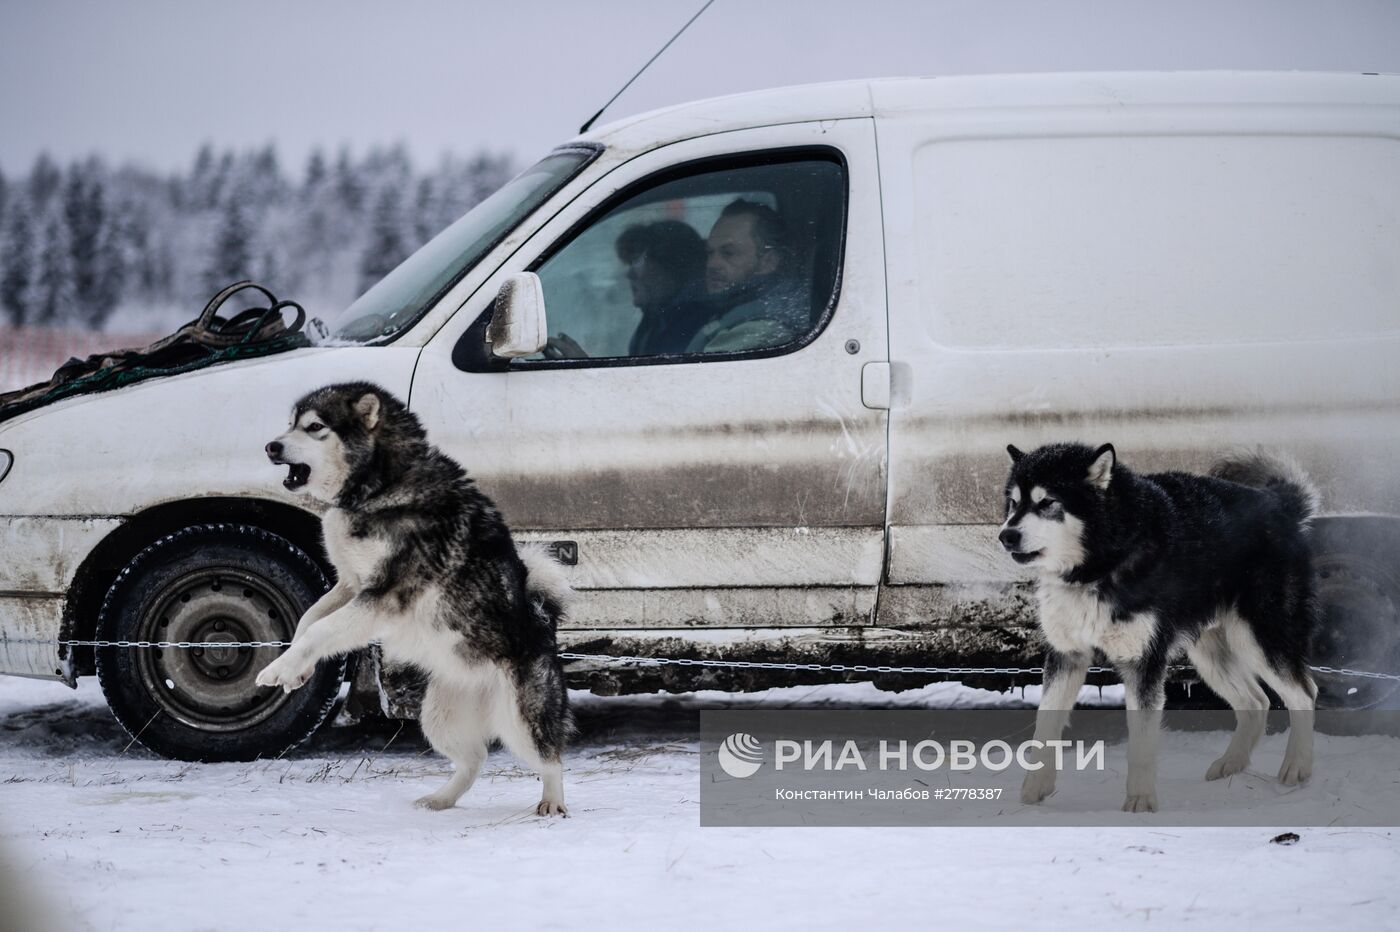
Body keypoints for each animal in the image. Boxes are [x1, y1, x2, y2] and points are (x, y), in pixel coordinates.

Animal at [260, 380, 571, 811]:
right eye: (290, 423)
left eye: (314, 426)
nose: (270, 446)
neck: (382, 486)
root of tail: (544, 620)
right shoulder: (351, 585)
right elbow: (308, 621)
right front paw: (295, 667)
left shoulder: (381, 597)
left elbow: (321, 631)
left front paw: (278, 670)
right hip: (438, 717)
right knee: (475, 760)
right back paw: (441, 800)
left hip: (520, 719)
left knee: (551, 756)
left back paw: (553, 802)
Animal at [1002, 439, 1316, 811]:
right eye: (1014, 503)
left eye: (1047, 503)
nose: (1006, 535)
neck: (1100, 566)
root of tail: (1280, 505)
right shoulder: (1066, 655)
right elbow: (1045, 724)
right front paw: (1035, 788)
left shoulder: (1143, 662)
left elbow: (1141, 742)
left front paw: (1140, 800)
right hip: (1210, 655)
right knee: (1257, 702)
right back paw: (1232, 763)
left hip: (1259, 640)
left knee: (1304, 694)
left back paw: (1297, 766)